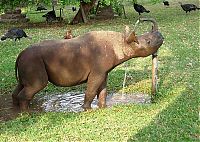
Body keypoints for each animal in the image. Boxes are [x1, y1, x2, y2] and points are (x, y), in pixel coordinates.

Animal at [11, 18, 163, 111]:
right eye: (148, 42)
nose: (161, 36)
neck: (121, 42)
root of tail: (20, 54)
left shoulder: (103, 72)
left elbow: (102, 91)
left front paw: (102, 107)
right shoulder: (97, 72)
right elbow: (91, 90)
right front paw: (87, 109)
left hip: (28, 61)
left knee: (22, 84)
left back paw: (17, 109)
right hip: (33, 60)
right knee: (37, 85)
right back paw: (27, 112)